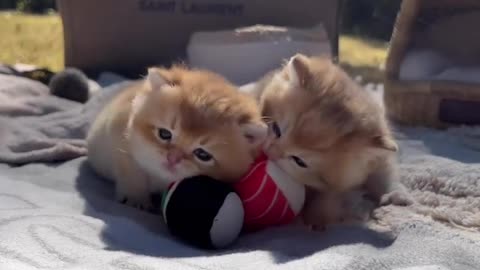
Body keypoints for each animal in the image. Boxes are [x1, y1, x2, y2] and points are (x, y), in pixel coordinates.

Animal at [86, 65, 266, 209]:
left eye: (202, 154)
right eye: (164, 134)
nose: (172, 158)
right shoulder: (119, 137)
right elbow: (132, 172)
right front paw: (135, 199)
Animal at [248, 53, 412, 227]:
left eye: (299, 161)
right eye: (276, 129)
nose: (270, 152)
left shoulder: (378, 155)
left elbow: (384, 172)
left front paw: (397, 194)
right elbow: (329, 203)